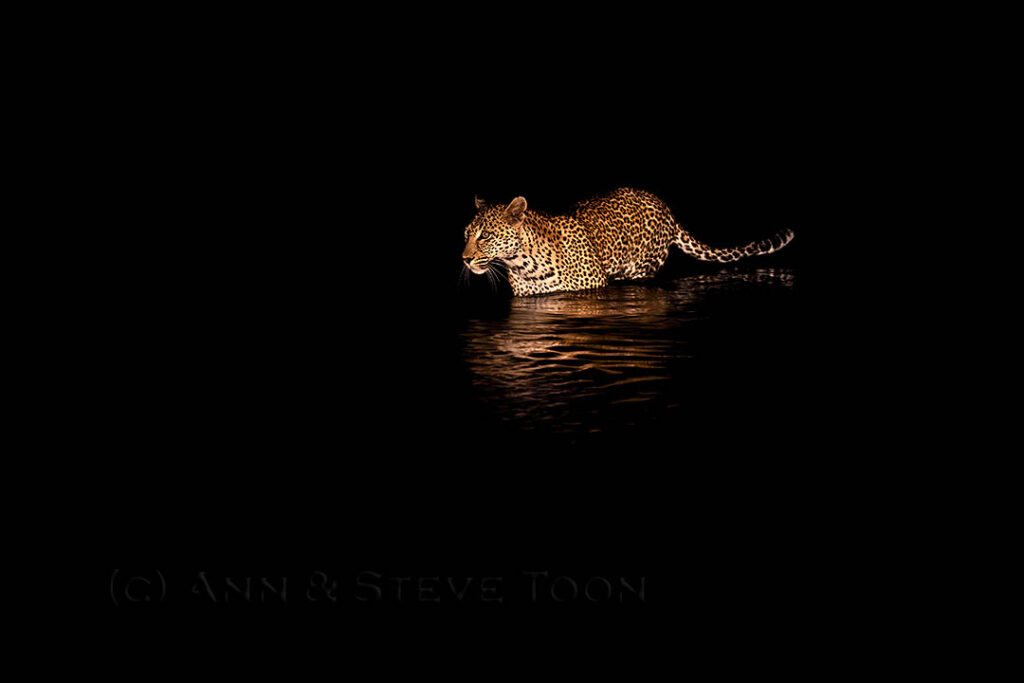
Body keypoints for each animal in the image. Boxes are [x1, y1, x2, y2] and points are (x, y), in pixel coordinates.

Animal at [462, 187, 794, 296]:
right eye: (466, 235)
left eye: (485, 235)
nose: (464, 258)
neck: (523, 264)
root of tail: (663, 205)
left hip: (643, 267)